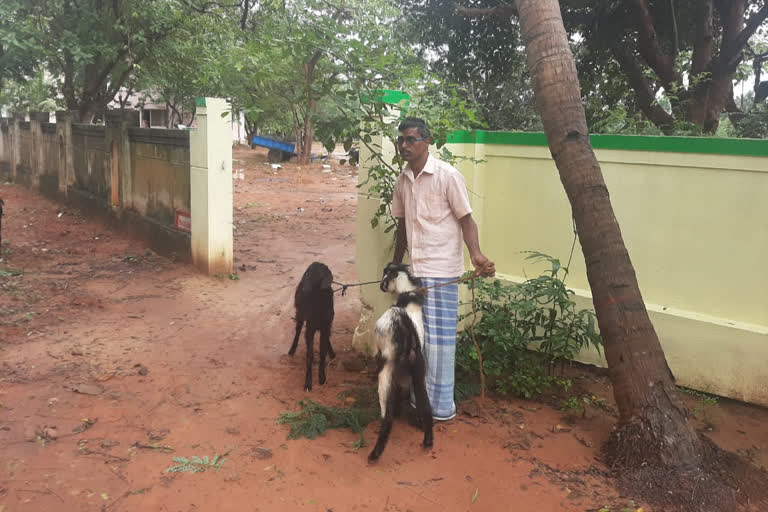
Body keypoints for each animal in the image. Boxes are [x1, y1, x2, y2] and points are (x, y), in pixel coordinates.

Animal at [290, 262, 334, 390]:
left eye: (318, 274)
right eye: (307, 273)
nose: (303, 288)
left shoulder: (326, 325)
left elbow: (322, 352)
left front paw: (322, 377)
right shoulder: (310, 328)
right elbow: (310, 355)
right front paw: (308, 382)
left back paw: (331, 352)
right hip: (300, 312)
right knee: (298, 329)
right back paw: (292, 349)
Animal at [370, 262, 436, 462]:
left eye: (385, 276)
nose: (380, 286)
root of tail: (409, 334)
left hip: (387, 372)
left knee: (387, 415)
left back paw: (375, 453)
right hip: (419, 373)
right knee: (425, 406)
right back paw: (428, 440)